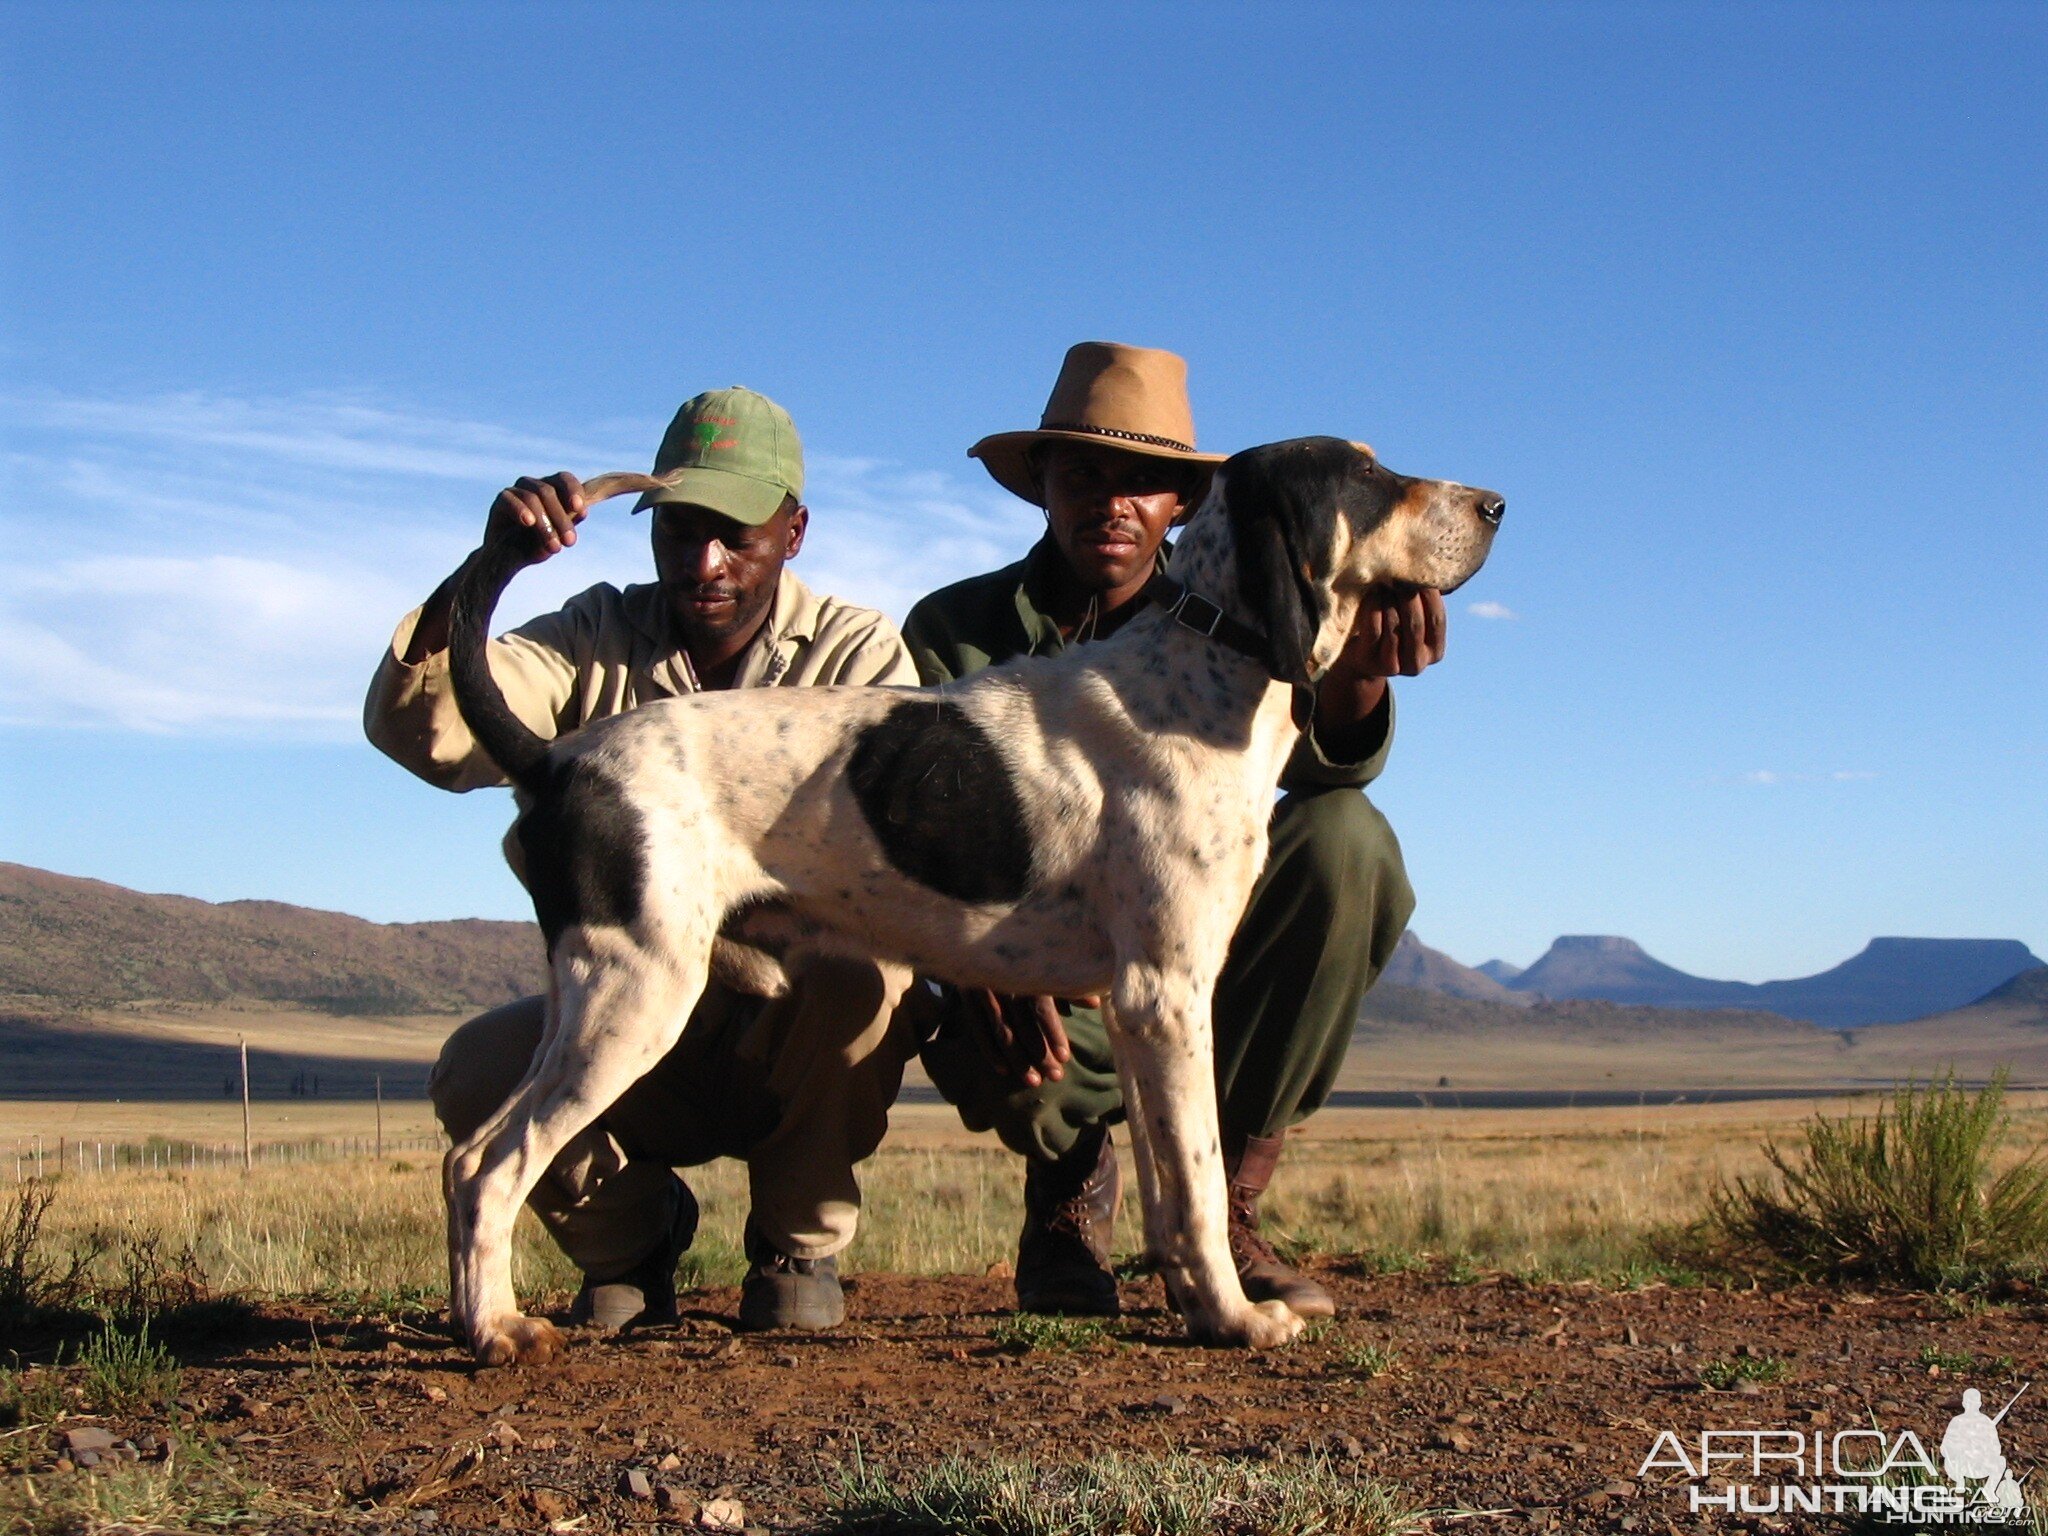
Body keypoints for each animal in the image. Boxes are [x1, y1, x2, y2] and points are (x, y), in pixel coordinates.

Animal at [444, 438, 1507, 1368]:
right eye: (1366, 474)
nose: (1497, 505)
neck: (1207, 663)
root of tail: (558, 758)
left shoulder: (1137, 1016)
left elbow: (1170, 1187)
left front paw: (1201, 1307)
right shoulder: (1169, 995)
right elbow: (1200, 1180)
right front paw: (1241, 1320)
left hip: (598, 997)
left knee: (471, 1159)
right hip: (635, 997)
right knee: (490, 1163)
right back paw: (496, 1333)